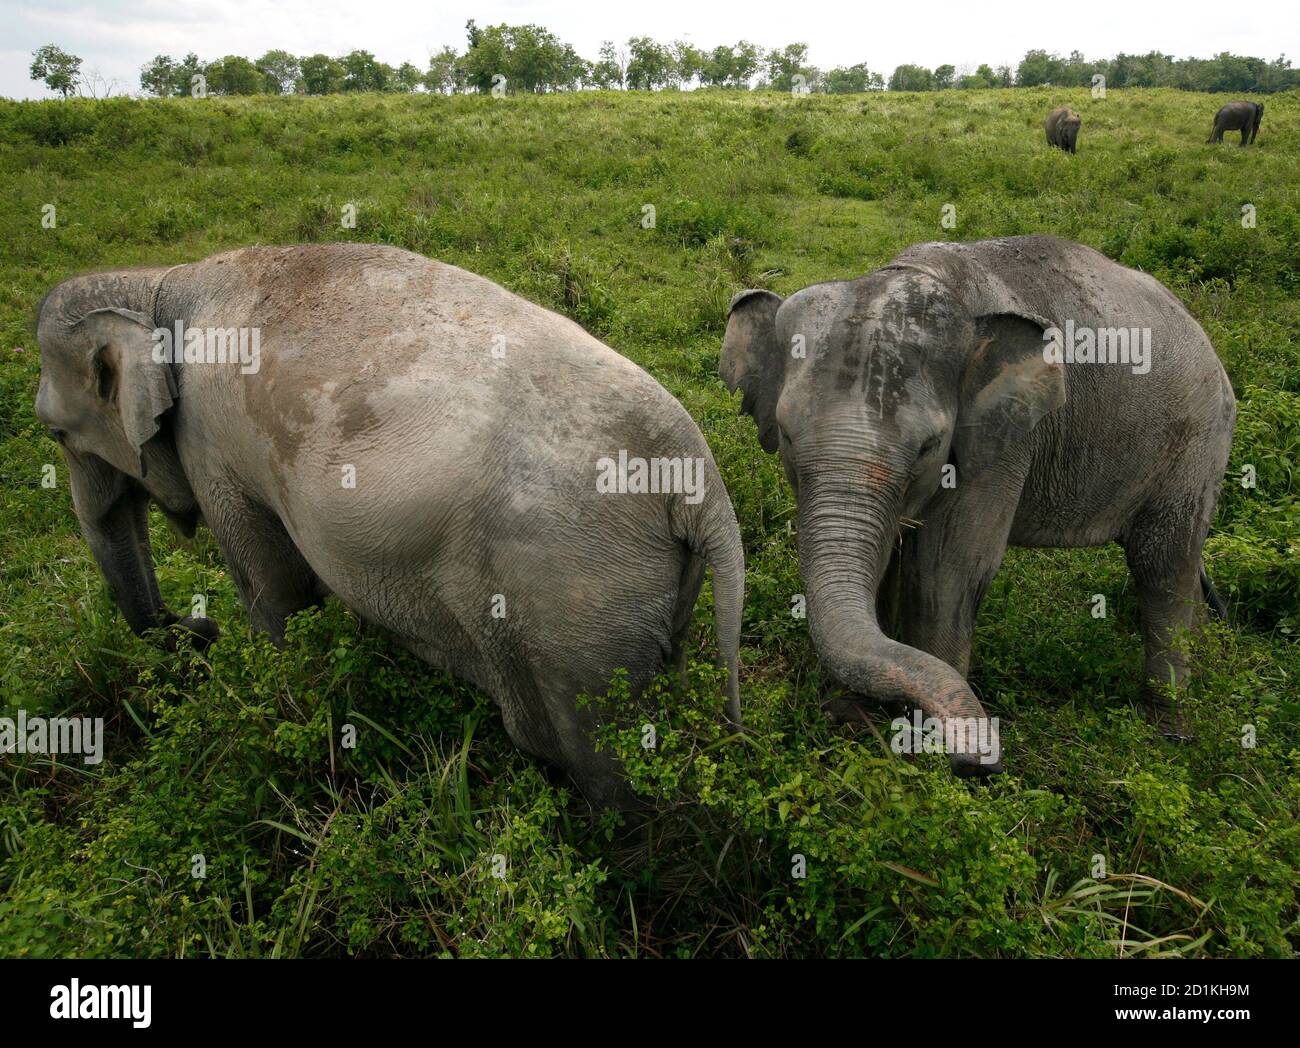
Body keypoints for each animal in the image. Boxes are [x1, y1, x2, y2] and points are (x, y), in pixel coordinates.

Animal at [35, 241, 748, 806]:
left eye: (55, 433)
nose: (198, 628)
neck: (154, 284)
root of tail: (699, 484)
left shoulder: (213, 448)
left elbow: (273, 590)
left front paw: (280, 686)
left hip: (576, 599)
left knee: (600, 757)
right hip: (639, 595)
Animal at [722, 237, 1237, 780]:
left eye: (928, 447)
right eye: (787, 435)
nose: (982, 759)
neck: (915, 274)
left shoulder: (1002, 439)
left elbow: (946, 568)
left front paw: (926, 749)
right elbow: (887, 560)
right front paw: (854, 715)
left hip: (1197, 442)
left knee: (1162, 566)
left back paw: (1169, 731)